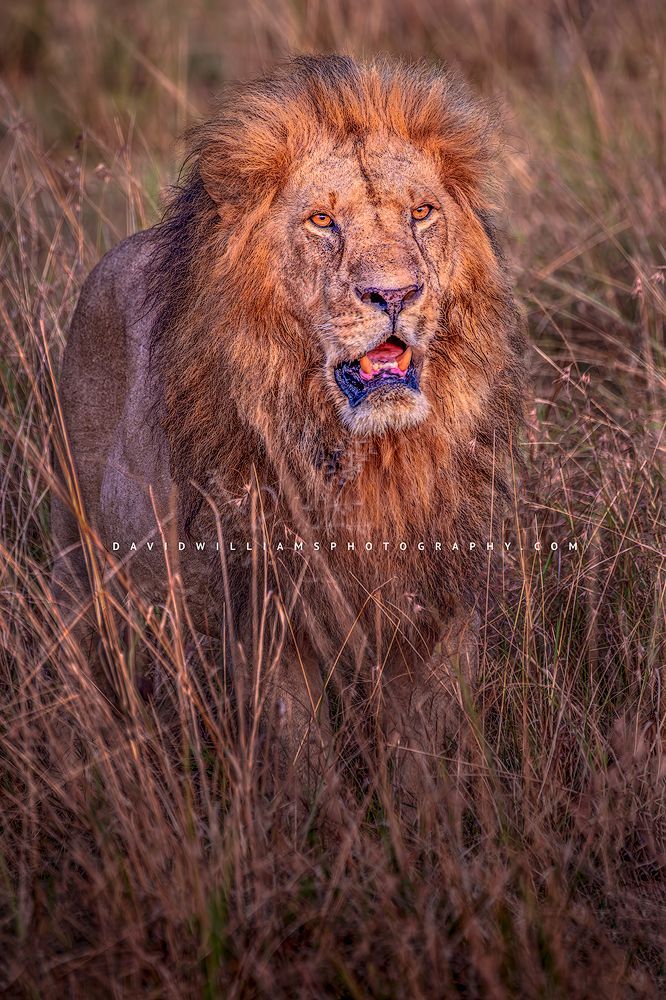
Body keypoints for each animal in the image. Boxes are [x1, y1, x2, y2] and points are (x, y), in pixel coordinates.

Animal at [52, 54, 525, 806]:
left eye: (421, 212)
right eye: (322, 221)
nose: (396, 294)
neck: (369, 458)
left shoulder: (436, 602)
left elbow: (425, 756)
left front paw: (428, 829)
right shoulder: (267, 614)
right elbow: (307, 767)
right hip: (80, 561)